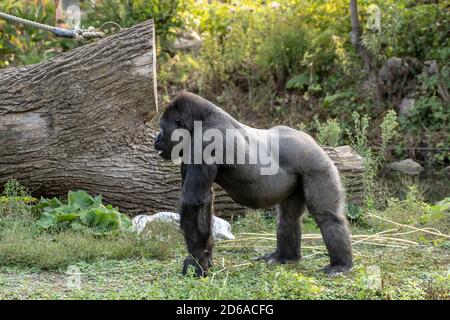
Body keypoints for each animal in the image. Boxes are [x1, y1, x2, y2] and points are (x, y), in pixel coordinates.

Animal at [154, 91, 352, 276]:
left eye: (162, 128)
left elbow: (194, 202)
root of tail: (313, 141)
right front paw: (205, 256)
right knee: (289, 217)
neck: (201, 121)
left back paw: (341, 264)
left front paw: (197, 260)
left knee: (328, 216)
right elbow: (204, 203)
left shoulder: (203, 145)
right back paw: (286, 256)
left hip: (317, 165)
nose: (156, 138)